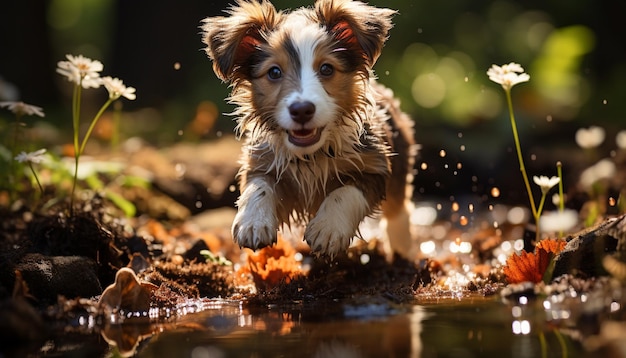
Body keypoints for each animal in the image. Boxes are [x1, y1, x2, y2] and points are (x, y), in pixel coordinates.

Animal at [200, 0, 414, 258]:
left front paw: (328, 228)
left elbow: (345, 192)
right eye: (274, 72)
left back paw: (403, 247)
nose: (301, 110)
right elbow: (258, 186)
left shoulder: (374, 166)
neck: (311, 155)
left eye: (326, 69)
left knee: (398, 208)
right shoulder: (263, 160)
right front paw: (253, 222)